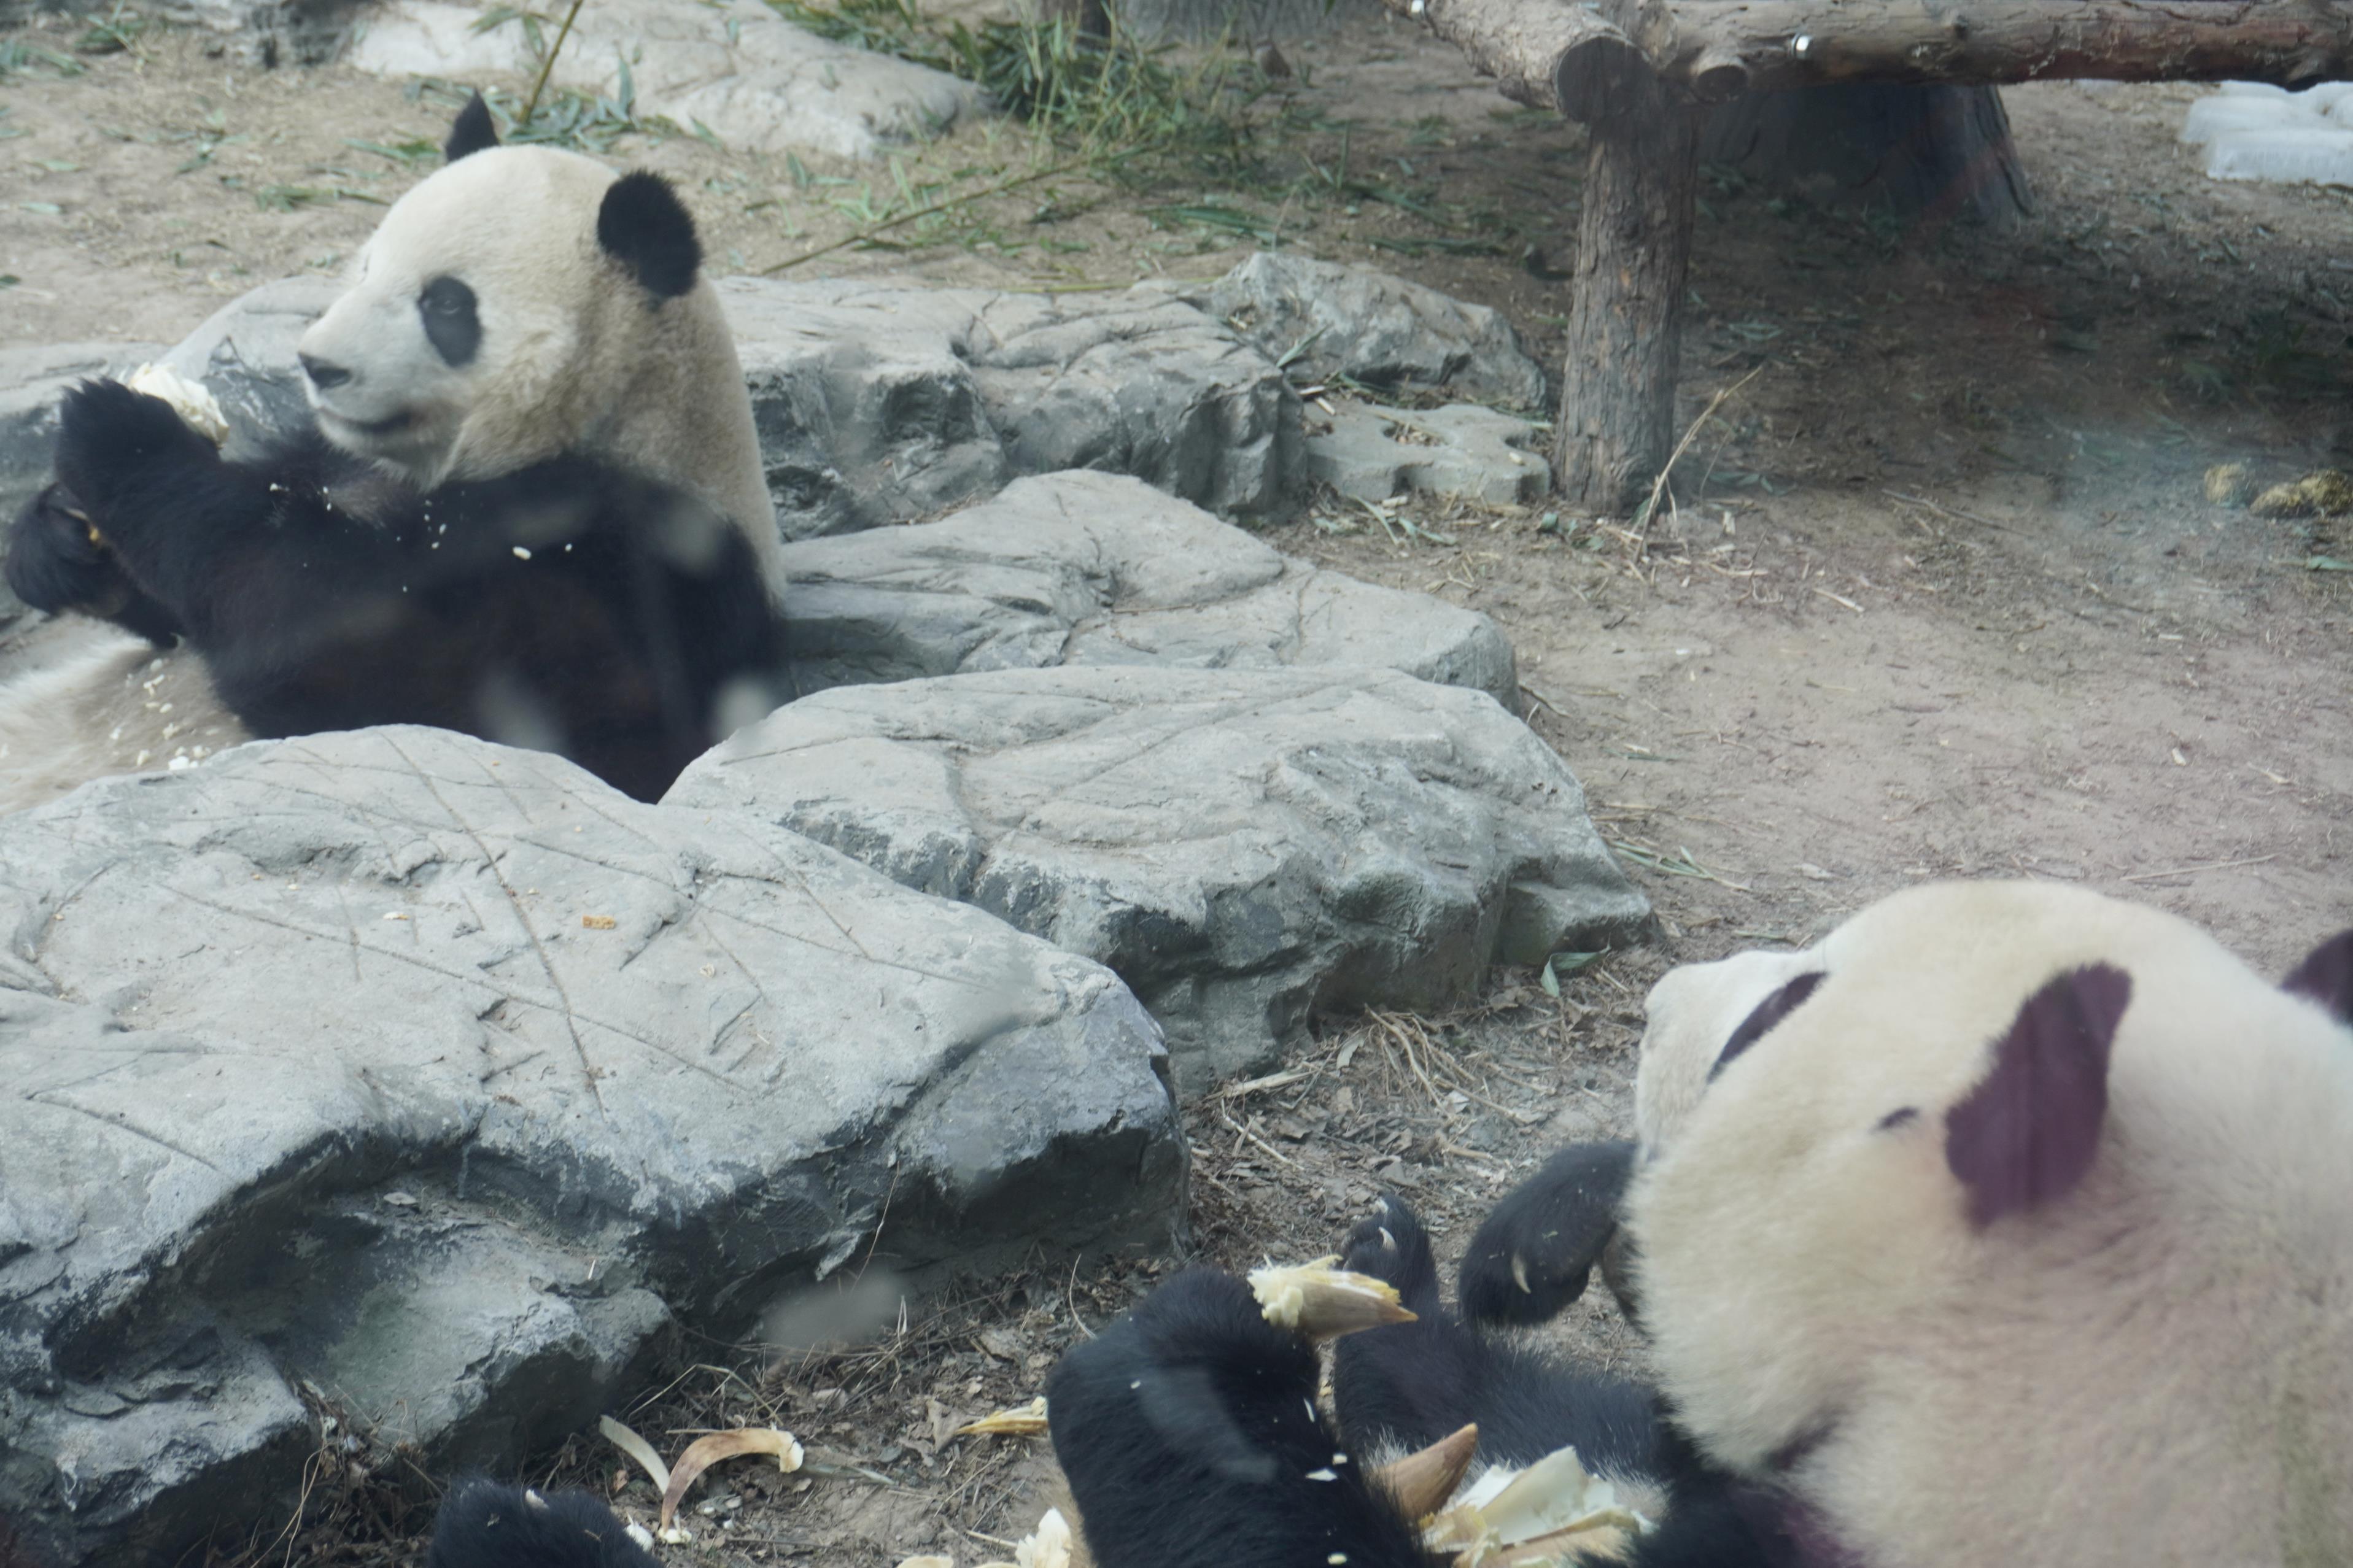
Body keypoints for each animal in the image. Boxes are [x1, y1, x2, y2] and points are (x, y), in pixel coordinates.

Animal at [0, 93, 790, 808]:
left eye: (445, 303)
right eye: (365, 268)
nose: (317, 365)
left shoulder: (618, 559)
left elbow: (345, 652)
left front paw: (115, 430)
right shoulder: (331, 458)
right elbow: (183, 606)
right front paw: (60, 536)